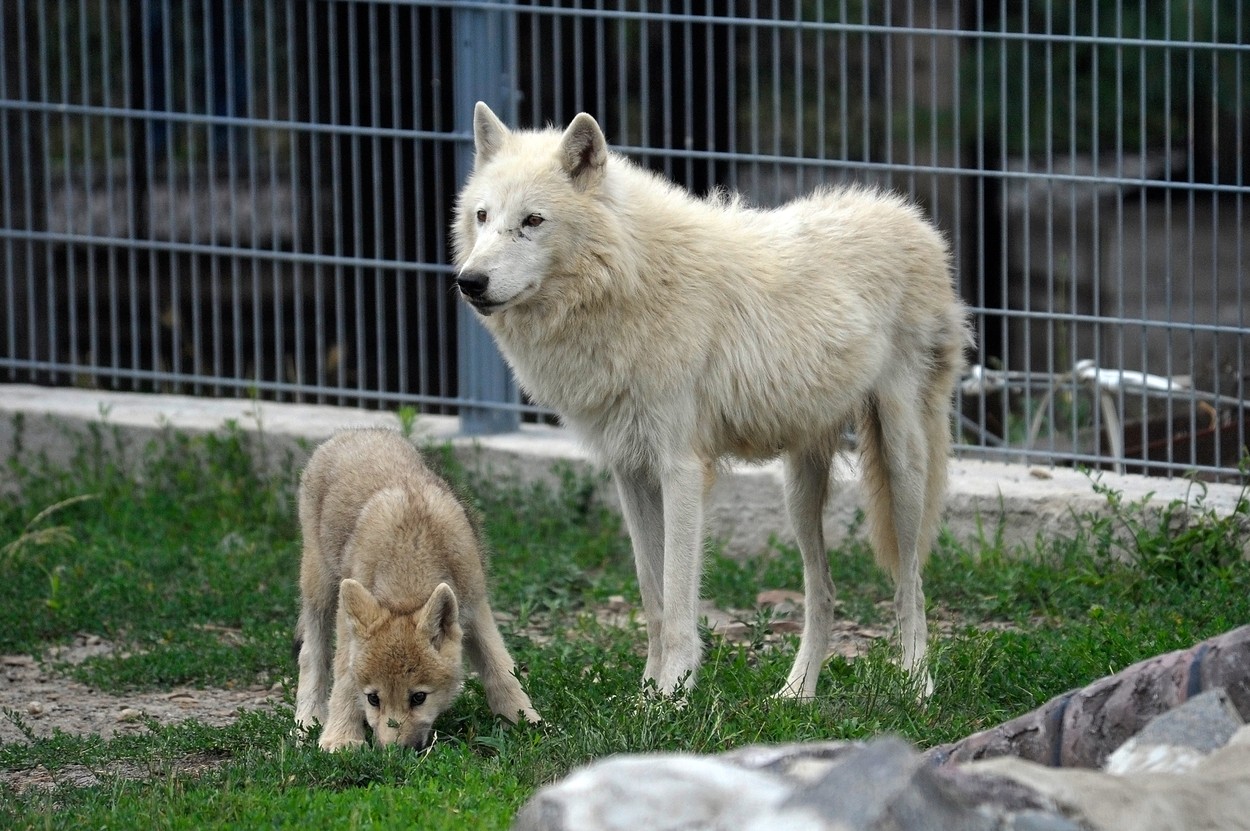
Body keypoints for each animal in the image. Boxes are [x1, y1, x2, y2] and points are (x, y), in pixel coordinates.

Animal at [293, 428, 540, 751]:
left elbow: (500, 668)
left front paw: (524, 719)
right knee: (311, 655)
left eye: (418, 697)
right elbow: (344, 679)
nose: (394, 753)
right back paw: (307, 719)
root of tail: (353, 432)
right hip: (320, 590)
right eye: (373, 699)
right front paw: (341, 738)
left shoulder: (475, 609)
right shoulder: (348, 626)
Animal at [453, 103, 969, 699]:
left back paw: (916, 686)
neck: (629, 280)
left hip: (902, 464)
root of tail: (912, 217)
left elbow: (679, 604)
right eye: (483, 216)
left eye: (533, 221)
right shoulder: (630, 471)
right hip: (798, 492)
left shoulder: (679, 469)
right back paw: (797, 695)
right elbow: (653, 599)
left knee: (911, 583)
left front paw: (672, 698)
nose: (470, 281)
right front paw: (647, 693)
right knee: (824, 593)